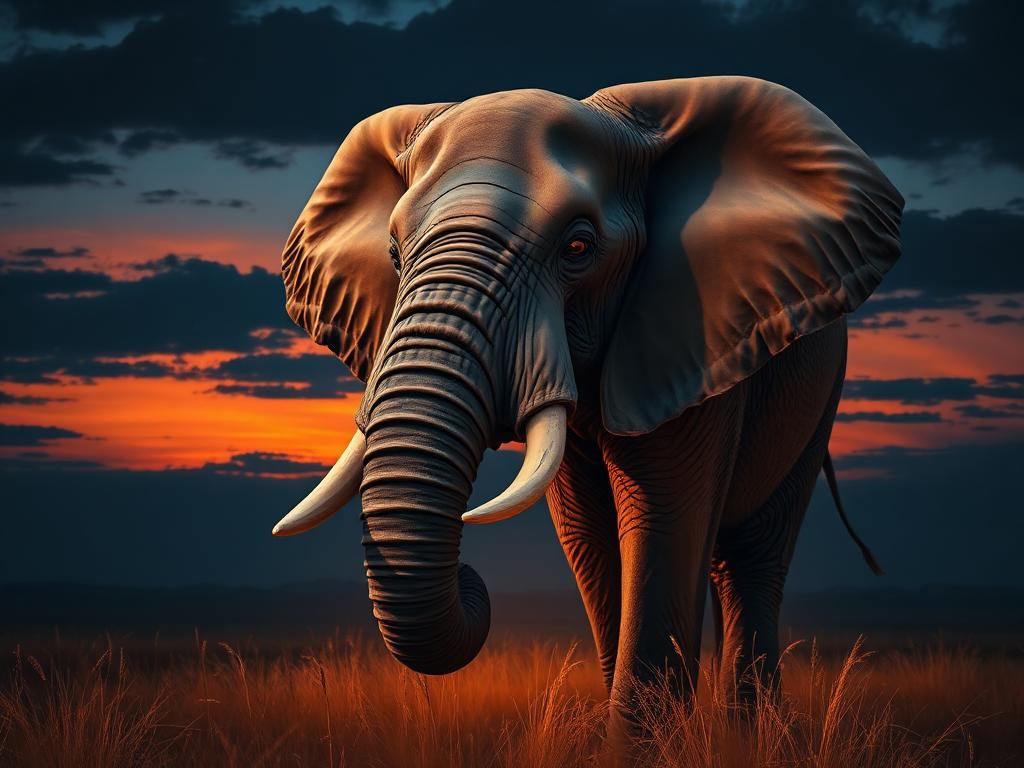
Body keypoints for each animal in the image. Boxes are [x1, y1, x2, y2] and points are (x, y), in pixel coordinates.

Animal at [271, 77, 902, 725]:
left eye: (578, 246)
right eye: (394, 254)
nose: (474, 580)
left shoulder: (690, 332)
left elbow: (663, 521)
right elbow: (589, 538)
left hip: (820, 394)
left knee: (753, 561)